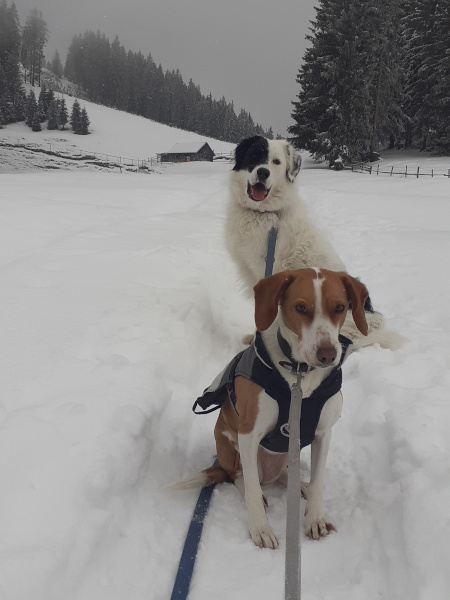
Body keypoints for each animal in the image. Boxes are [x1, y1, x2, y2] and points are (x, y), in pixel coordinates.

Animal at [173, 268, 369, 548]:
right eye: (300, 308)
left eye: (340, 307)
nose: (327, 355)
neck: (300, 373)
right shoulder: (248, 434)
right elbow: (254, 489)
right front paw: (260, 528)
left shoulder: (323, 433)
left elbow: (318, 482)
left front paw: (315, 519)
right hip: (231, 448)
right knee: (241, 477)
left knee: (285, 474)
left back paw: (299, 485)